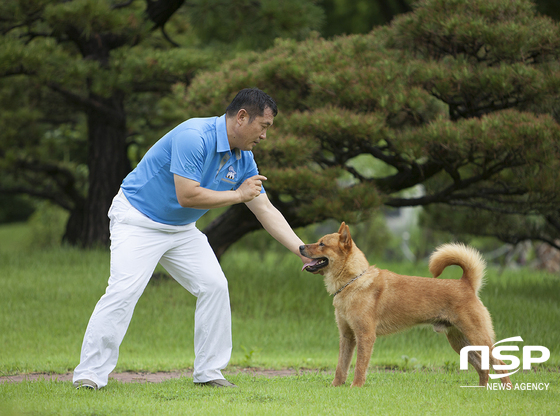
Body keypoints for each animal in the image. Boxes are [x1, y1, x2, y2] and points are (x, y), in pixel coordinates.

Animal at [302, 223, 512, 388]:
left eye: (322, 244)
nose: (301, 246)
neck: (353, 282)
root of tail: (466, 284)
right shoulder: (347, 337)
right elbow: (341, 367)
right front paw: (336, 386)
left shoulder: (365, 336)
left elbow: (360, 366)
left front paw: (356, 387)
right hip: (460, 342)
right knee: (483, 368)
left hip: (477, 337)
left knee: (500, 364)